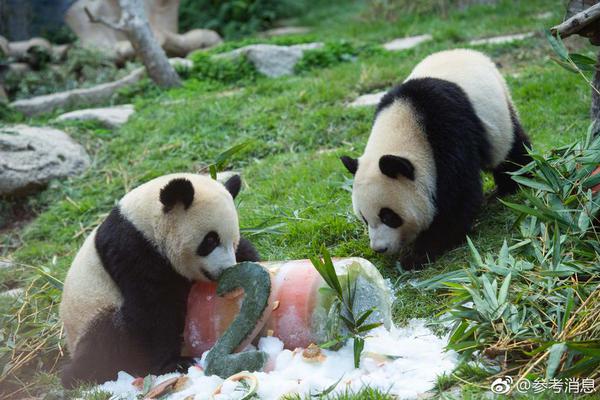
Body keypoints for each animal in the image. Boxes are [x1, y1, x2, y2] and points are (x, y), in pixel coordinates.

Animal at [59, 172, 258, 388]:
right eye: (211, 240)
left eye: (233, 240)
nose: (226, 270)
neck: (145, 222)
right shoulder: (133, 251)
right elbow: (153, 309)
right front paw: (174, 363)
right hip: (90, 316)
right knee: (105, 337)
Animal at [340, 49, 532, 268]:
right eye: (364, 217)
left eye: (388, 216)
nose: (380, 248)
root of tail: (469, 52)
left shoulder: (448, 128)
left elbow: (458, 194)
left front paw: (418, 254)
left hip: (499, 113)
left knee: (510, 151)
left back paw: (515, 183)